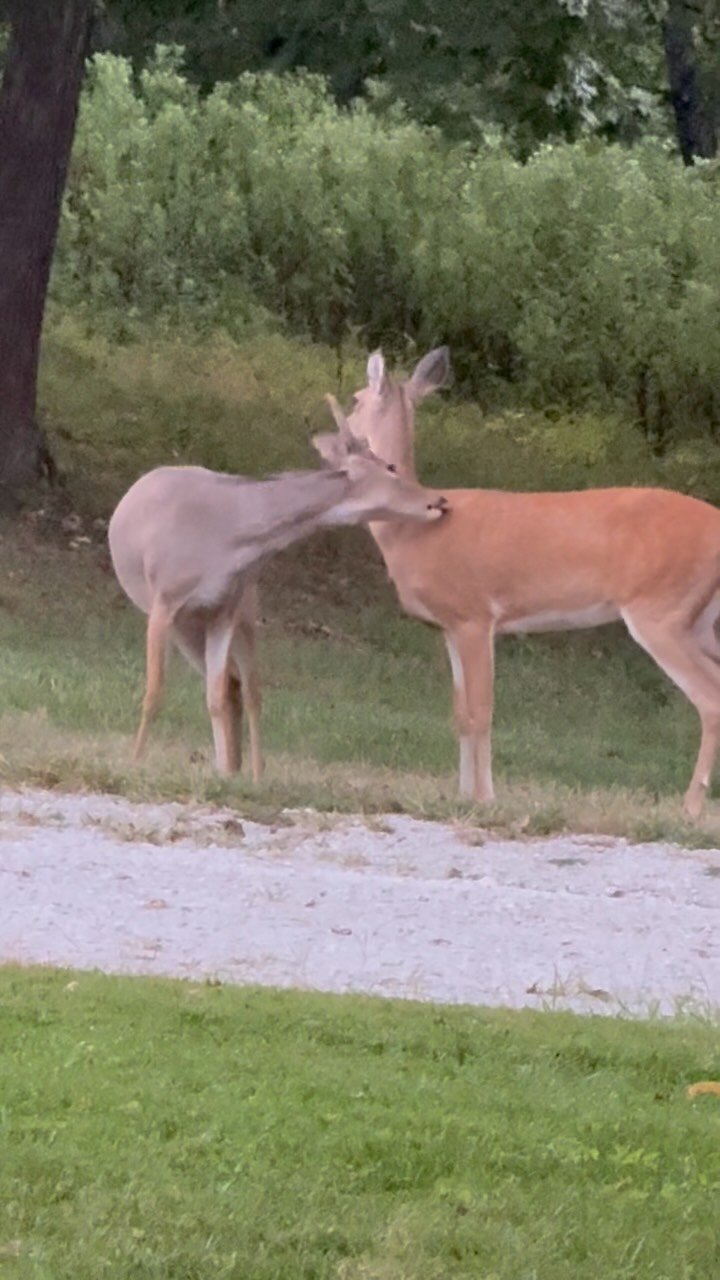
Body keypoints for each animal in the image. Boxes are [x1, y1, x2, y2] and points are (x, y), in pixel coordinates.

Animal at [108, 398, 449, 780]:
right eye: (391, 467)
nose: (438, 501)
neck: (225, 541)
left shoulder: (224, 608)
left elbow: (216, 697)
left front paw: (227, 773)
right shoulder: (166, 600)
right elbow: (155, 691)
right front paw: (134, 763)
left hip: (241, 613)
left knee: (245, 689)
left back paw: (247, 772)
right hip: (186, 624)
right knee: (234, 686)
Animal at [346, 345, 720, 820]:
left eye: (355, 400)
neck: (411, 531)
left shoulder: (474, 613)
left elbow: (481, 709)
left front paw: (485, 798)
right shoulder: (450, 626)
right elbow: (459, 712)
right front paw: (461, 794)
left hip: (662, 610)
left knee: (710, 699)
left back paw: (690, 807)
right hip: (701, 621)